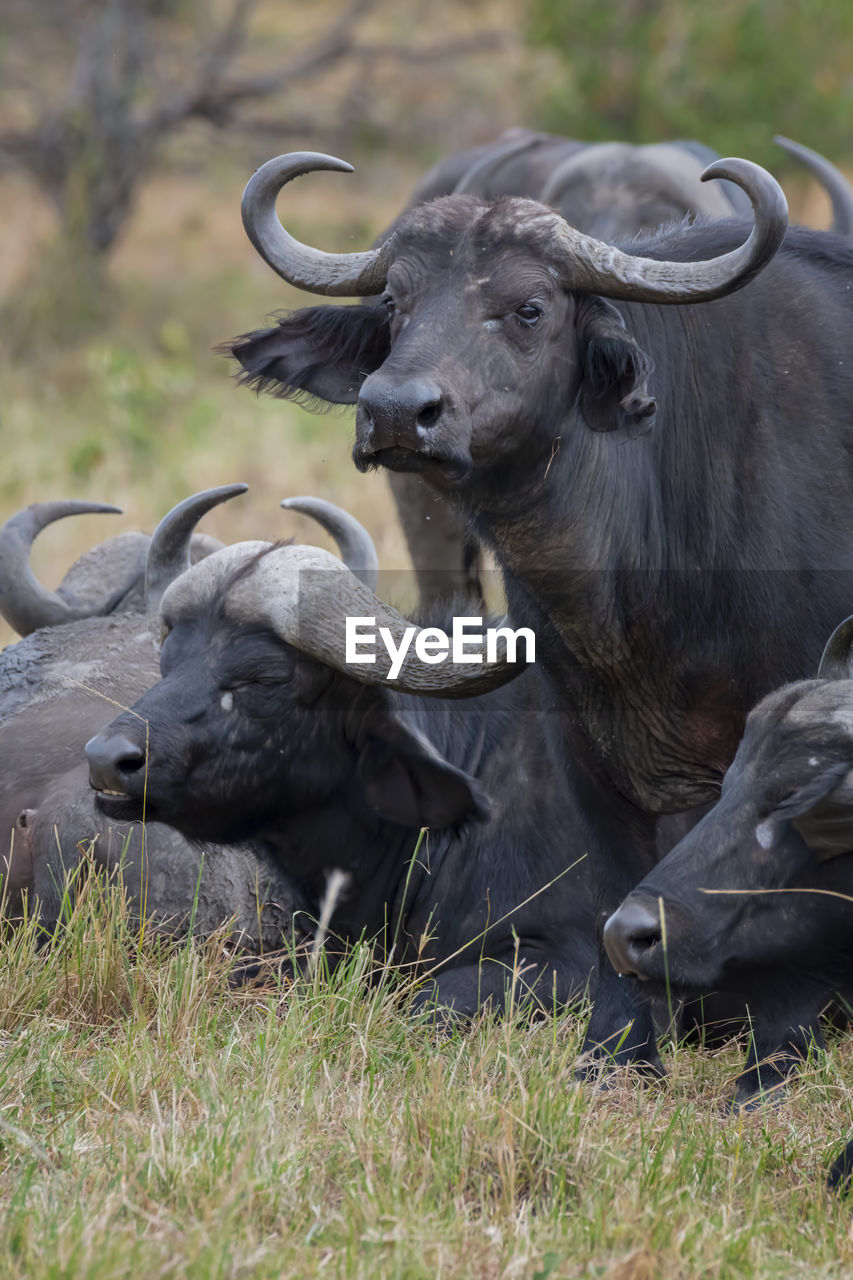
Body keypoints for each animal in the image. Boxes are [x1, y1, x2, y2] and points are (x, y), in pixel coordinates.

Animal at [220, 145, 853, 1075]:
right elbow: (617, 896)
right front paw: (616, 1058)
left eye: (528, 307)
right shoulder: (581, 742)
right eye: (396, 303)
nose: (394, 410)